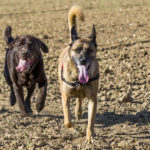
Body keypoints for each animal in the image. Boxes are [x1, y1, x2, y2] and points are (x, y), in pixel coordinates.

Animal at [58, 5, 99, 143]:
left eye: (90, 50)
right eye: (77, 50)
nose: (83, 60)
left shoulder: (93, 98)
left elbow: (91, 121)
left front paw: (90, 137)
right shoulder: (65, 96)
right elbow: (67, 120)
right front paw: (73, 129)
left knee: (79, 98)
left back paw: (79, 112)